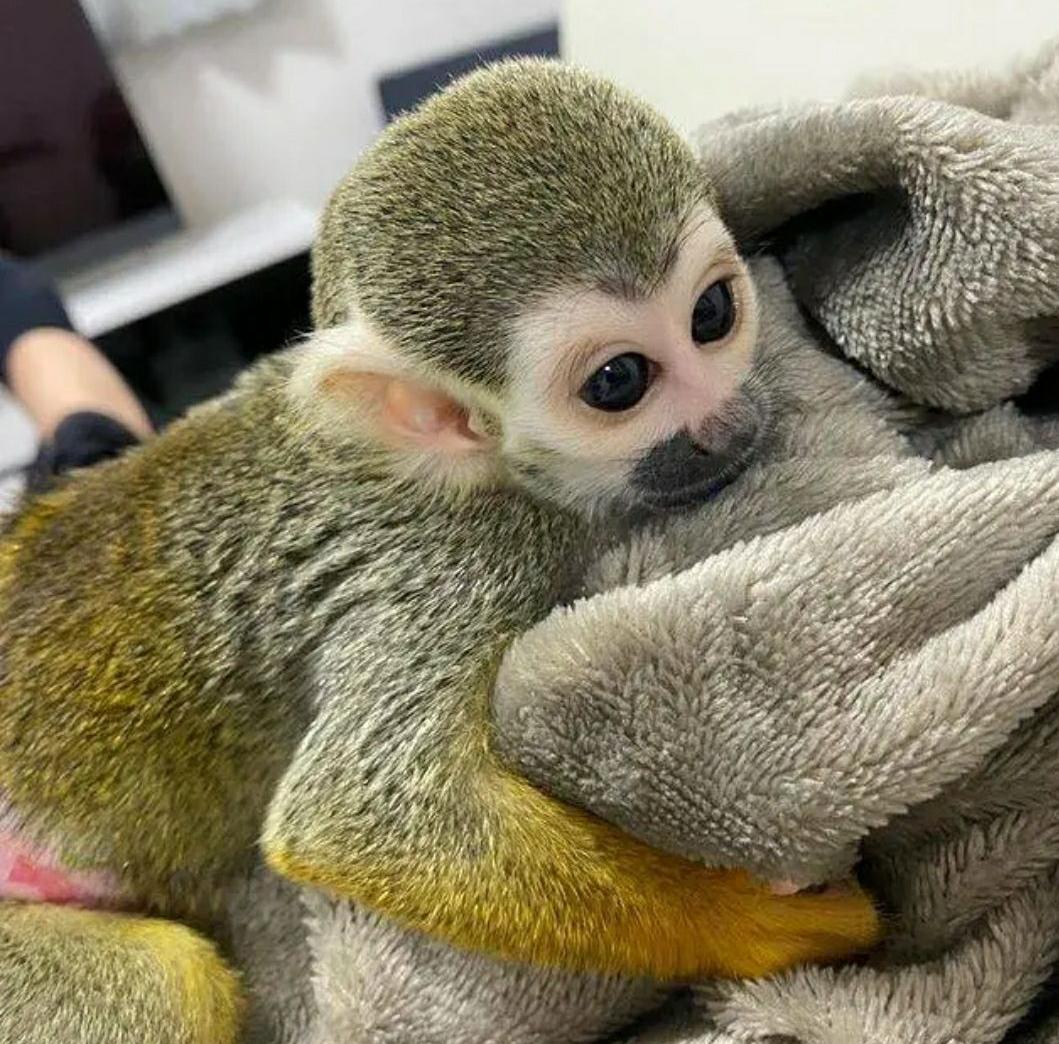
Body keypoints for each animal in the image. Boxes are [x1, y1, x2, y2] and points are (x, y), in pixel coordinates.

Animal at [0, 59, 879, 1039]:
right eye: (619, 381)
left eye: (713, 313)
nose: (727, 423)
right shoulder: (456, 559)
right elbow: (358, 817)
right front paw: (766, 922)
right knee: (165, 980)